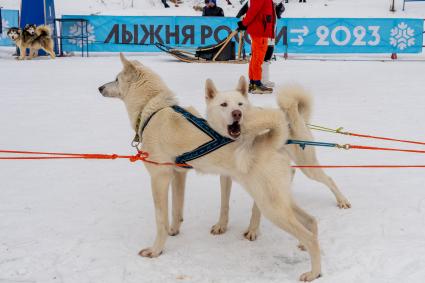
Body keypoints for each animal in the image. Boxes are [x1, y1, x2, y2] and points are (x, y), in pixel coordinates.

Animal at [97, 53, 320, 282]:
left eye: (116, 78)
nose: (100, 88)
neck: (153, 109)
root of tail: (271, 140)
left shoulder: (159, 178)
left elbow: (160, 219)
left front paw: (156, 250)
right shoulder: (178, 175)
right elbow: (177, 210)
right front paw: (174, 230)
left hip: (271, 206)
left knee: (310, 235)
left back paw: (314, 272)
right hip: (277, 200)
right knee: (311, 222)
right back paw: (305, 247)